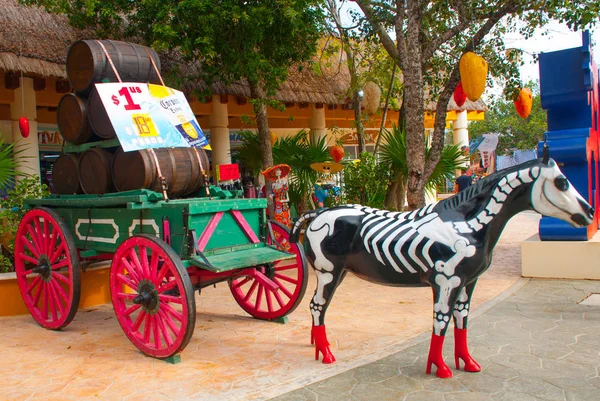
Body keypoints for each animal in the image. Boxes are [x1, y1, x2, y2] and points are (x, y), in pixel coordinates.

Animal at [292, 153, 596, 376]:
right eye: (562, 182)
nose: (590, 212)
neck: (468, 223)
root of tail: (318, 212)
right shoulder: (446, 280)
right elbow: (441, 320)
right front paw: (439, 368)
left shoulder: (468, 282)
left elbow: (461, 320)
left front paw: (467, 362)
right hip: (328, 272)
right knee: (317, 307)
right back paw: (327, 355)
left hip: (338, 274)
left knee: (318, 310)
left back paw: (318, 347)